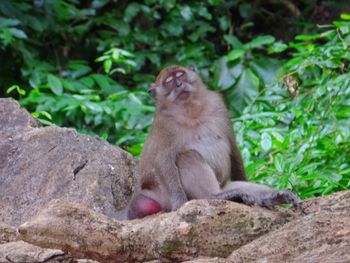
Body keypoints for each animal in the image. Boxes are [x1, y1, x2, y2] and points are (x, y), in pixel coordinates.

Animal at [121, 65, 298, 221]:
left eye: (180, 75)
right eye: (169, 82)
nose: (179, 84)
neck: (191, 112)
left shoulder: (218, 104)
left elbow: (233, 148)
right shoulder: (165, 125)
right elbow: (163, 160)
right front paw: (180, 202)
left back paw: (269, 197)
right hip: (164, 197)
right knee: (187, 157)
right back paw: (215, 195)